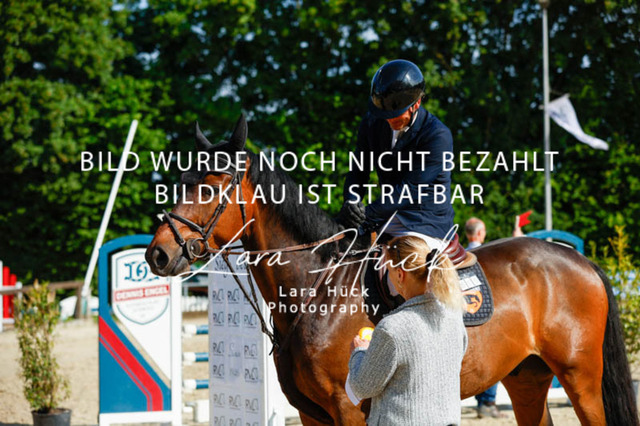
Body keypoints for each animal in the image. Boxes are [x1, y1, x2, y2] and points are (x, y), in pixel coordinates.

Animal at [145, 115, 639, 426]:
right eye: (181, 181)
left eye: (211, 187)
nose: (158, 255)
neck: (316, 288)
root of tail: (576, 259)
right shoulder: (311, 414)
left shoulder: (348, 409)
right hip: (527, 378)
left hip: (581, 377)